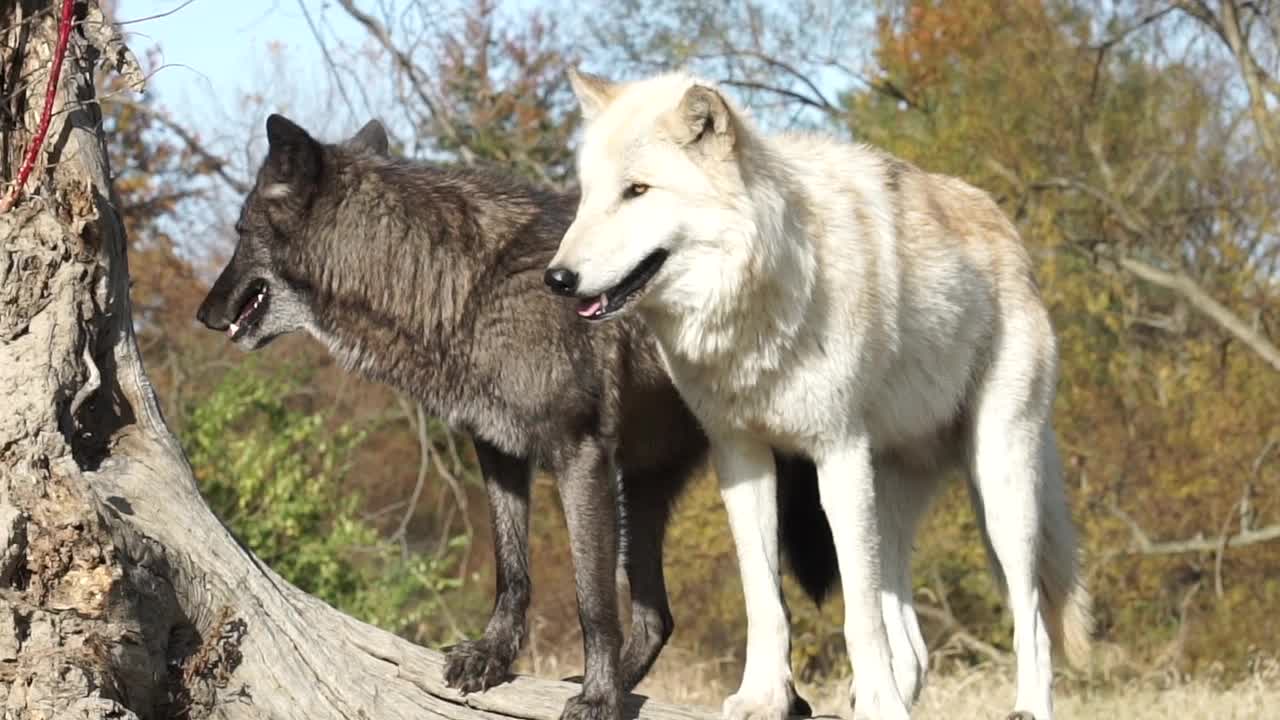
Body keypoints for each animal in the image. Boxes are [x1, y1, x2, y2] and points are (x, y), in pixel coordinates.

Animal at [189, 113, 829, 717]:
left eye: (241, 232)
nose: (203, 314)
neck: (468, 284)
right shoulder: (498, 450)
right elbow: (511, 568)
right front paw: (492, 656)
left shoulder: (580, 456)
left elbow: (592, 600)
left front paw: (598, 699)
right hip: (647, 486)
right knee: (659, 618)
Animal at [545, 68, 1095, 717]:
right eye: (586, 195)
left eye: (637, 191)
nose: (557, 278)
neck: (764, 299)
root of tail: (1008, 229)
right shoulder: (742, 460)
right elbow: (764, 601)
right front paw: (763, 697)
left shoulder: (838, 453)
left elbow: (858, 616)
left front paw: (878, 705)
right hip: (890, 499)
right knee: (915, 647)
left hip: (998, 487)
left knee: (1030, 620)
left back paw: (1020, 705)